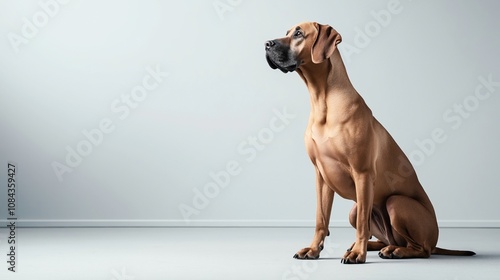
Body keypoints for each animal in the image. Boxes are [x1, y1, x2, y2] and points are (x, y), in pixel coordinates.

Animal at [264, 22, 474, 264]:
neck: (323, 101)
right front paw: (314, 249)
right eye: (287, 32)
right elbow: (320, 219)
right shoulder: (321, 176)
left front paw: (358, 254)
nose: (266, 44)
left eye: (298, 33)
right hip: (354, 210)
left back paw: (395, 251)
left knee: (421, 249)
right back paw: (378, 246)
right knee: (386, 237)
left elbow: (362, 225)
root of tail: (436, 240)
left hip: (396, 203)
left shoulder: (362, 174)